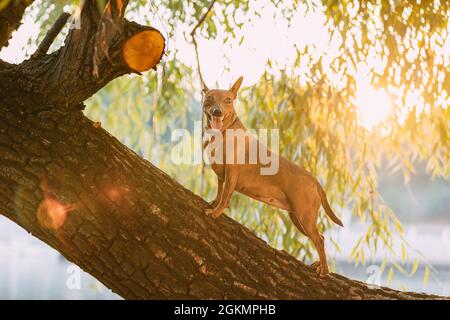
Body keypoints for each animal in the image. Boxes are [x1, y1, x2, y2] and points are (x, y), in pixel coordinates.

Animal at [202, 75, 342, 276]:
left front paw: (216, 212)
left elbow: (225, 197)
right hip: (298, 218)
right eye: (209, 98)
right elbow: (220, 193)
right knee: (320, 236)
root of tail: (314, 180)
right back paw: (319, 265)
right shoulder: (222, 176)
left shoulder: (231, 174)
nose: (217, 111)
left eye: (228, 100)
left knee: (320, 240)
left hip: (305, 217)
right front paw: (214, 203)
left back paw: (324, 270)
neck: (222, 134)